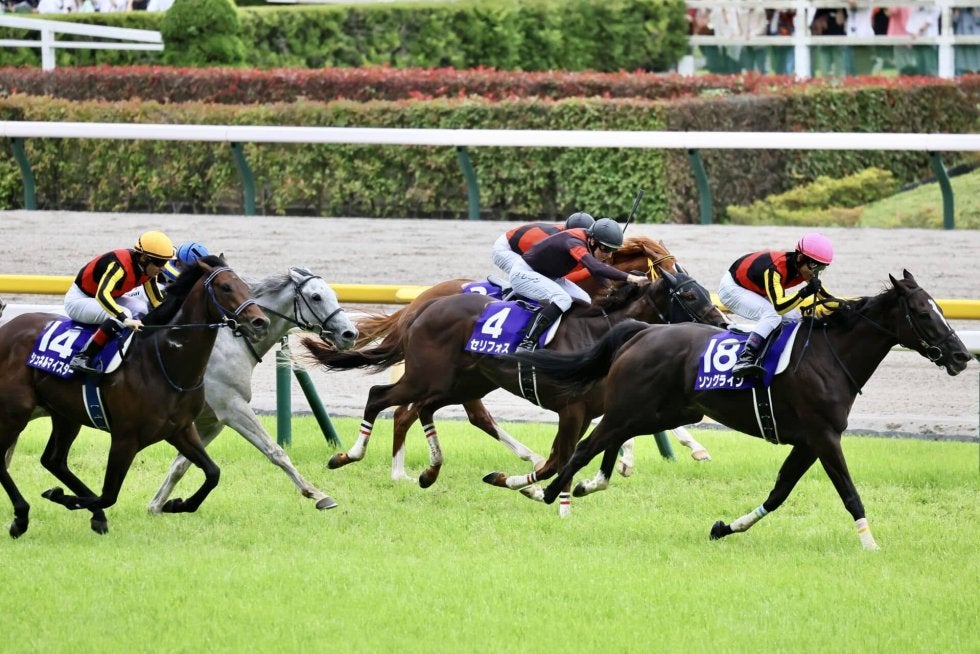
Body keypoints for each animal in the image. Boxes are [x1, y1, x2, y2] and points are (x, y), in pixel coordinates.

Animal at [0, 255, 270, 538]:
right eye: (225, 287)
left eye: (247, 288)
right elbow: (108, 495)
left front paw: (176, 504)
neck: (164, 362)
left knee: (54, 460)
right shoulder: (125, 438)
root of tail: (7, 328)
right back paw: (21, 517)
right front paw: (62, 498)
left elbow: (213, 473)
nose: (260, 322)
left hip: (65, 415)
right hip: (15, 411)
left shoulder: (181, 430)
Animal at [147, 267, 358, 514]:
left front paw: (157, 505)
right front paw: (316, 494)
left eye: (334, 294)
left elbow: (180, 464)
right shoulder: (232, 408)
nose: (350, 334)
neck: (230, 342)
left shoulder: (211, 421)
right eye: (316, 297)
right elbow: (275, 450)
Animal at [302, 267, 727, 514]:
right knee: (382, 397)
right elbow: (559, 460)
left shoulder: (604, 410)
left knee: (426, 409)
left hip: (464, 381)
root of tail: (421, 307)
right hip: (427, 376)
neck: (597, 332)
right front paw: (531, 488)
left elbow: (578, 458)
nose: (723, 323)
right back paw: (348, 456)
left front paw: (550, 492)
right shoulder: (573, 409)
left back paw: (428, 472)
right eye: (689, 295)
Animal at [509, 271, 972, 548]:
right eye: (922, 312)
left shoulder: (808, 441)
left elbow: (779, 492)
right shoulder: (824, 437)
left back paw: (568, 485)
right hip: (632, 408)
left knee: (607, 442)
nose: (962, 355)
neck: (829, 354)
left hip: (668, 412)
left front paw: (725, 528)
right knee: (584, 447)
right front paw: (870, 543)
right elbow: (849, 493)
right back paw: (545, 490)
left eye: (939, 308)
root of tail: (642, 330)